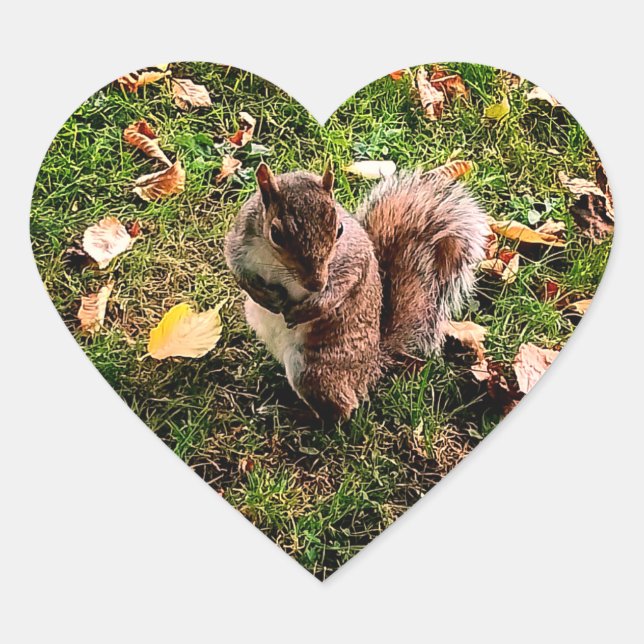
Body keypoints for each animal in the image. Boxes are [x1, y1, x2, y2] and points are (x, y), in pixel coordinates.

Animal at [224, 162, 488, 422]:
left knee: (342, 410)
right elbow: (238, 271)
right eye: (276, 234)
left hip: (315, 369)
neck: (274, 260)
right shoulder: (239, 241)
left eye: (339, 229)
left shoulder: (353, 258)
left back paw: (295, 414)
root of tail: (372, 365)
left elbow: (342, 286)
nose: (316, 284)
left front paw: (307, 310)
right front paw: (265, 297)